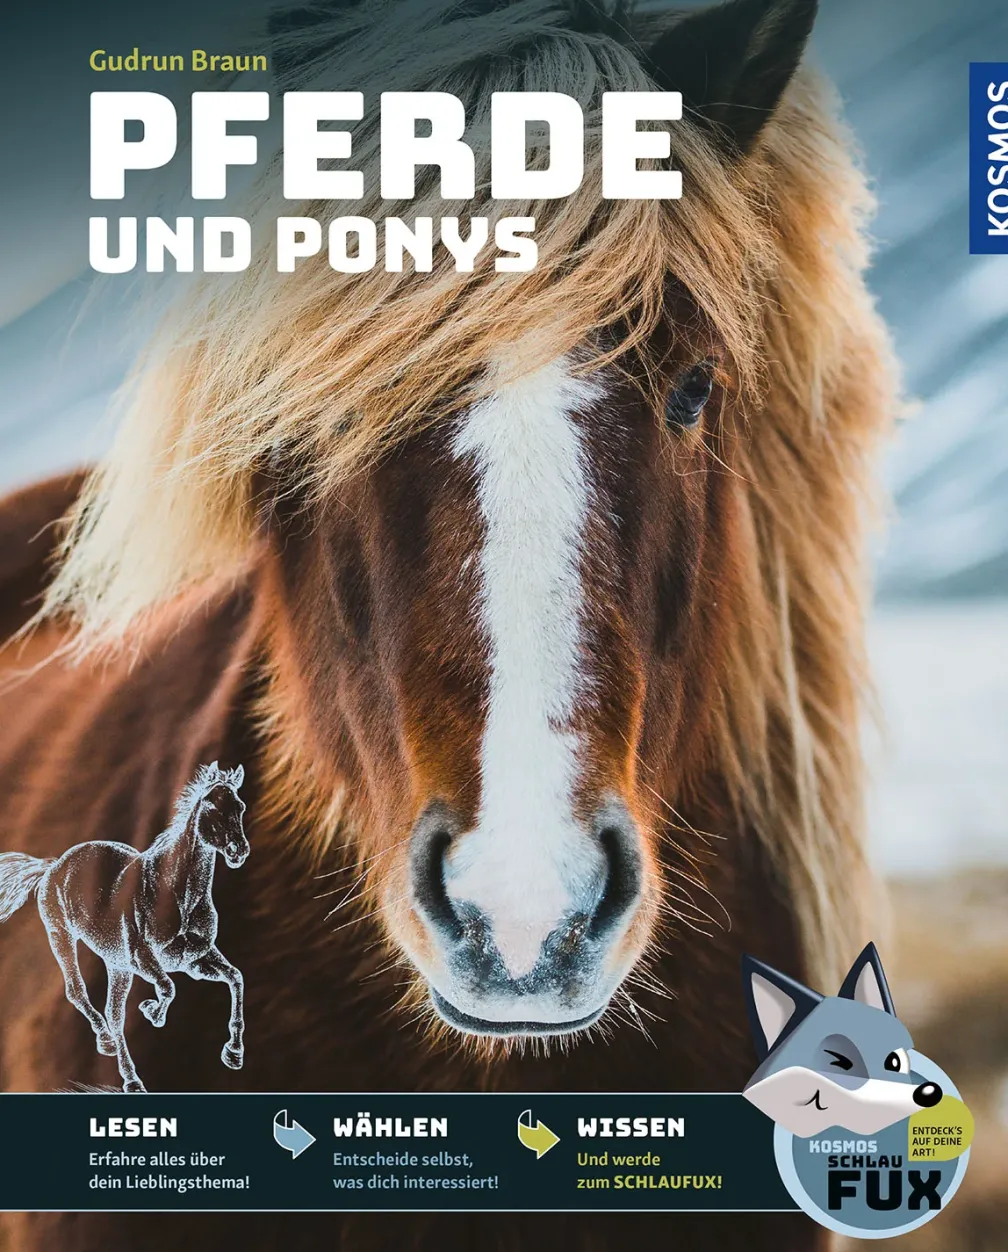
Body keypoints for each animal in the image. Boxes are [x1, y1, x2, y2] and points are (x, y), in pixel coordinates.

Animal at [0, 762, 248, 1093]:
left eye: (240, 806)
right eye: (210, 805)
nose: (238, 850)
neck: (178, 896)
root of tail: (53, 866)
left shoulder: (193, 960)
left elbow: (235, 978)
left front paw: (233, 1053)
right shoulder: (143, 960)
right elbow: (168, 988)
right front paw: (152, 1011)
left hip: (116, 965)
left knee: (114, 1014)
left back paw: (122, 1063)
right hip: (62, 938)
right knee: (78, 993)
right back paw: (120, 1063)